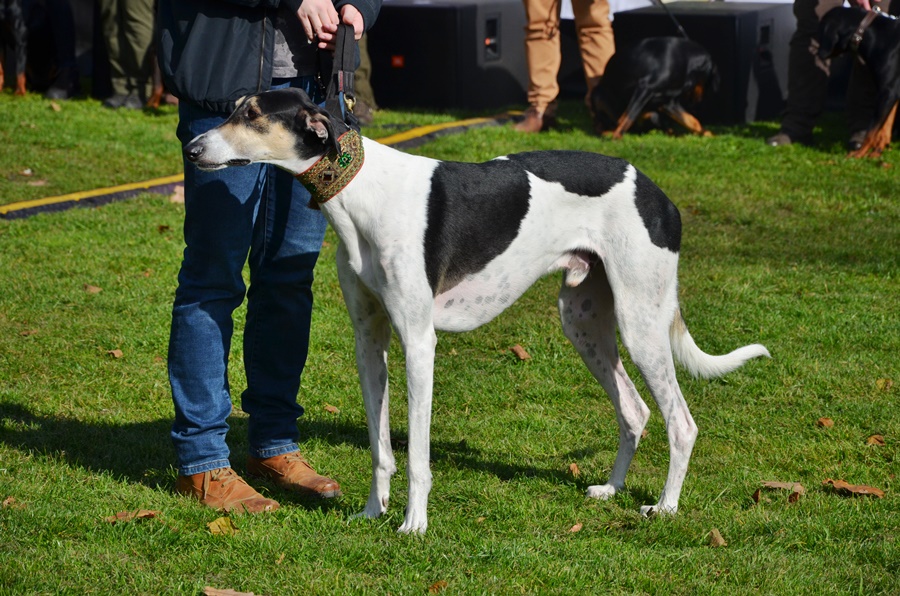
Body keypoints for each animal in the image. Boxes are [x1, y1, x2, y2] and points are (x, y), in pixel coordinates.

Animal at [183, 88, 769, 534]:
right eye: (233, 109)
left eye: (252, 115)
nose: (191, 148)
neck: (363, 192)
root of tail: (658, 195)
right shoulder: (369, 340)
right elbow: (380, 446)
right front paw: (373, 512)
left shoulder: (418, 341)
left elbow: (417, 454)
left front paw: (413, 525)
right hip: (583, 319)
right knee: (635, 409)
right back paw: (610, 488)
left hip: (640, 320)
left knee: (680, 421)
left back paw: (665, 507)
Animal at [818, 7, 900, 158]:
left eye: (820, 29)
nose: (817, 53)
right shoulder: (893, 93)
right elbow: (885, 128)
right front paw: (876, 153)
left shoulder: (887, 92)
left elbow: (871, 132)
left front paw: (859, 154)